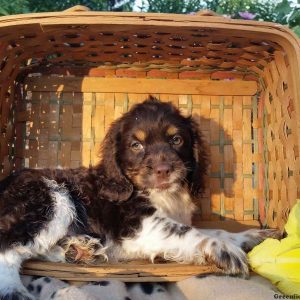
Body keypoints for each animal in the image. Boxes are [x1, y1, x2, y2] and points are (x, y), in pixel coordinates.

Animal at [0, 97, 278, 298]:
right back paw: (16, 290)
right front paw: (222, 250)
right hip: (50, 200)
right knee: (9, 248)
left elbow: (216, 230)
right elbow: (187, 232)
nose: (163, 170)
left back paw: (79, 250)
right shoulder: (140, 225)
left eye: (177, 139)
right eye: (136, 145)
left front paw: (252, 236)